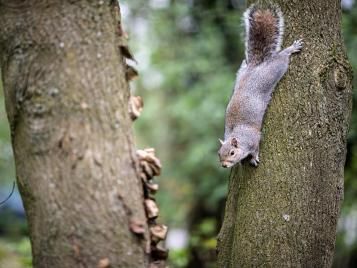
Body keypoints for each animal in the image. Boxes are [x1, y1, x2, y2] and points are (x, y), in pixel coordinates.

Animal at [218, 4, 302, 168]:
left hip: (272, 72)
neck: (238, 136)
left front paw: (253, 158)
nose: (224, 165)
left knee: (281, 59)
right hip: (240, 74)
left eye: (232, 152)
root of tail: (254, 68)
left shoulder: (254, 138)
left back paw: (290, 49)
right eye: (219, 154)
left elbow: (256, 148)